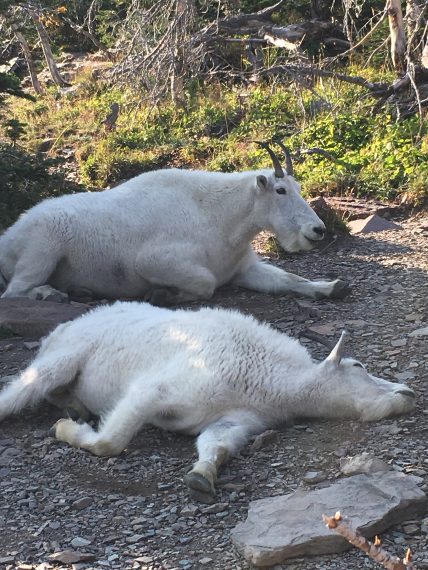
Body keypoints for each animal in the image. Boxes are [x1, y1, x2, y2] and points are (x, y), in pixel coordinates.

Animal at [0, 140, 348, 304]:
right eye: (280, 190)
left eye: (299, 188)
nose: (317, 230)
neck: (219, 216)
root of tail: (8, 237)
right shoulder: (153, 261)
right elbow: (206, 284)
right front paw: (161, 294)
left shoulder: (243, 269)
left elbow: (289, 279)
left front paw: (330, 287)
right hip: (42, 250)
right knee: (14, 292)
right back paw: (51, 294)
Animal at [0, 300, 414, 500]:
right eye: (358, 366)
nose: (408, 393)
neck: (268, 379)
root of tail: (68, 324)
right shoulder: (154, 390)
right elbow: (110, 442)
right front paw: (67, 432)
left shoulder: (237, 419)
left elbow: (217, 444)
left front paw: (201, 477)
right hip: (64, 356)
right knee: (24, 389)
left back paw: (74, 406)